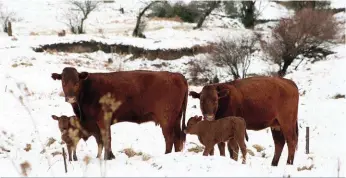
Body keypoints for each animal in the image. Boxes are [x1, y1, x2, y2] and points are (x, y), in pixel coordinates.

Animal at [50, 67, 188, 160]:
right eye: (63, 82)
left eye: (77, 82)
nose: (70, 98)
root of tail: (177, 75)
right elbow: (103, 139)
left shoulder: (103, 119)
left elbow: (107, 138)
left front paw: (108, 157)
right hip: (176, 118)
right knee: (177, 138)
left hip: (166, 119)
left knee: (169, 138)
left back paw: (166, 155)